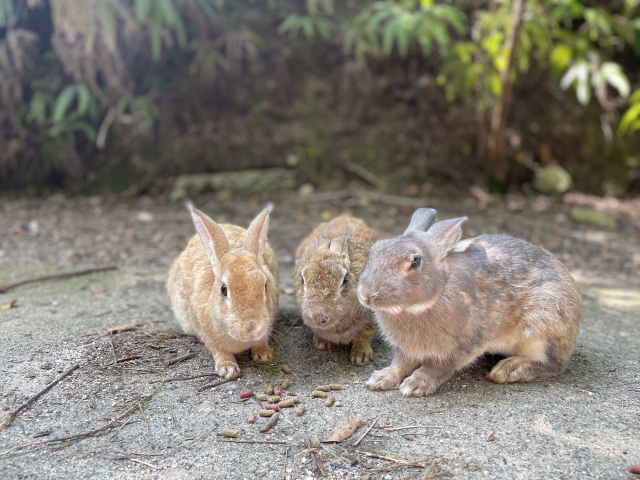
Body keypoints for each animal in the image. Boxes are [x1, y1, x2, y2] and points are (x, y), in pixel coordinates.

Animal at [168, 208, 280, 380]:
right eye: (223, 289)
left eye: (265, 285)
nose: (252, 328)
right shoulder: (205, 332)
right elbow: (218, 350)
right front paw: (228, 368)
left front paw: (264, 354)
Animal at [294, 216, 378, 366]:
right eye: (302, 279)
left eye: (345, 280)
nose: (318, 317)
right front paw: (321, 343)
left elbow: (365, 333)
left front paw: (361, 357)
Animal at [358, 208, 584, 396]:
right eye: (374, 249)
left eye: (415, 261)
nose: (367, 294)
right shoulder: (405, 349)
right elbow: (401, 363)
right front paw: (381, 379)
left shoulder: (462, 345)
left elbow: (436, 368)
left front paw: (415, 385)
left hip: (542, 327)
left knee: (554, 365)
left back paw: (508, 370)